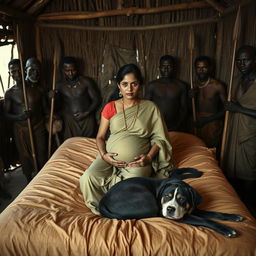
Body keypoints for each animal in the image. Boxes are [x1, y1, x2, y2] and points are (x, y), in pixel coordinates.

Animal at [98, 168, 244, 238]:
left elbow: (214, 213)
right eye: (166, 197)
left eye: (182, 199)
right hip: (149, 202)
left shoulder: (191, 208)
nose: (170, 209)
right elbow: (206, 220)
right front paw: (227, 229)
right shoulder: (182, 216)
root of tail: (103, 200)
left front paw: (234, 216)